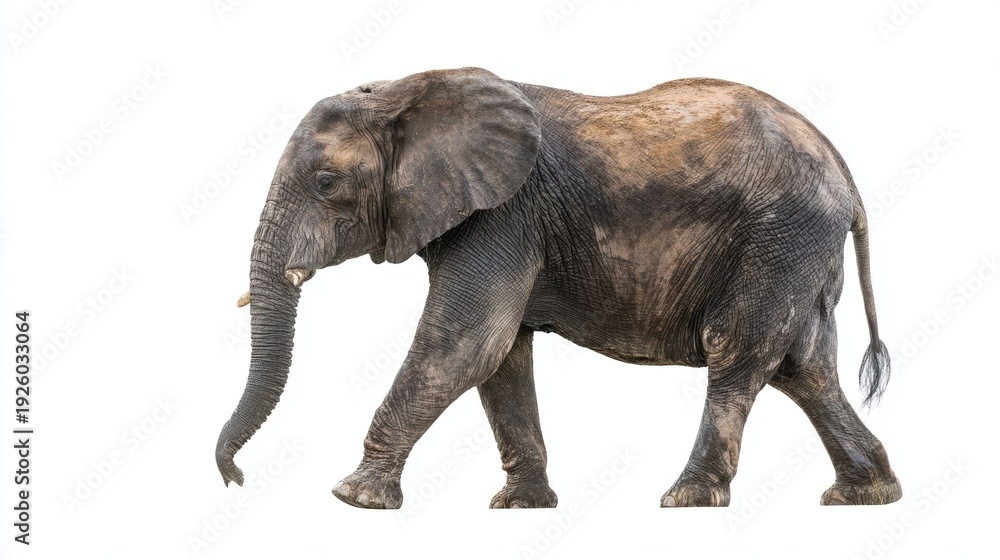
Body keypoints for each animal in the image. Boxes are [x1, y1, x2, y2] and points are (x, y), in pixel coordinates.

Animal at [215, 67, 901, 509]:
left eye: (326, 183)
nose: (236, 480)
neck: (403, 91)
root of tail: (845, 174)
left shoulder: (504, 214)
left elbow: (465, 342)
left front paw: (353, 498)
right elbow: (501, 358)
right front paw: (521, 506)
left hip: (780, 234)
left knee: (738, 349)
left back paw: (688, 498)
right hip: (797, 249)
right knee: (803, 367)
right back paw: (863, 495)